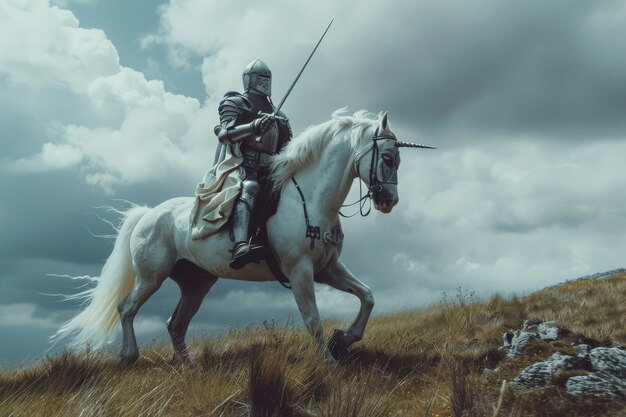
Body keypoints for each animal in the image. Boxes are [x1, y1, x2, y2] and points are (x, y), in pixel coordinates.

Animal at [54, 109, 428, 364]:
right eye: (389, 158)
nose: (388, 201)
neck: (311, 198)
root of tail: (147, 214)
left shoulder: (327, 269)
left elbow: (368, 297)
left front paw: (345, 338)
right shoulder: (300, 271)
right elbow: (313, 321)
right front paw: (330, 362)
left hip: (197, 283)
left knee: (176, 324)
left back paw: (187, 365)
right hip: (151, 277)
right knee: (127, 307)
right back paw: (129, 356)